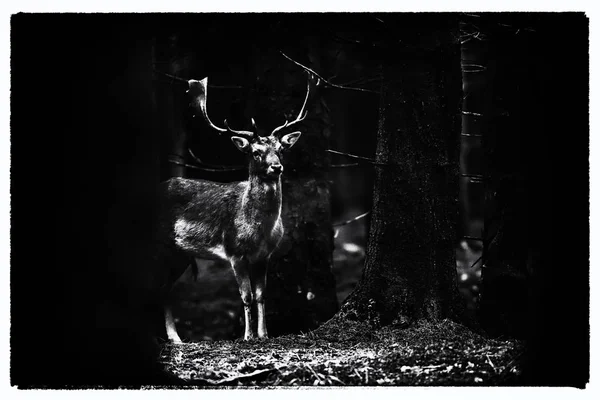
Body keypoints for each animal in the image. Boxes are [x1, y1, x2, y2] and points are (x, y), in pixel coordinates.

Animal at [156, 72, 314, 340]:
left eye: (280, 149)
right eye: (255, 152)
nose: (276, 167)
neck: (259, 230)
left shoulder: (264, 256)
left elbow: (261, 295)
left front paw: (263, 334)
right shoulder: (234, 252)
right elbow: (246, 296)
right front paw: (247, 336)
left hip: (180, 253)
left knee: (164, 289)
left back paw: (177, 340)